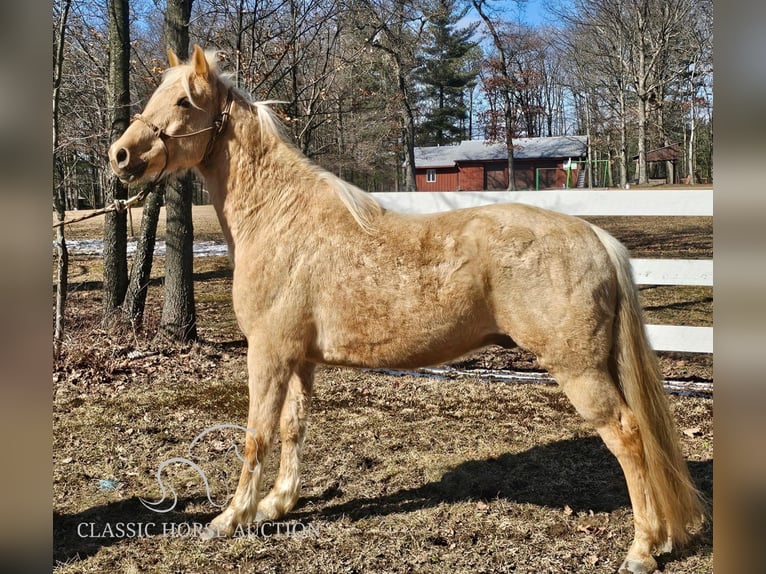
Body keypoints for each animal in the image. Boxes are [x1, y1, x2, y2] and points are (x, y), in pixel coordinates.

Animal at [108, 46, 704, 574]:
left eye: (183, 101)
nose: (121, 155)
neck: (281, 220)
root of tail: (595, 236)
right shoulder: (299, 360)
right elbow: (293, 427)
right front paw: (278, 504)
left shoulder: (268, 355)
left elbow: (256, 435)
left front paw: (231, 518)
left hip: (580, 371)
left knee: (628, 435)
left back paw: (642, 549)